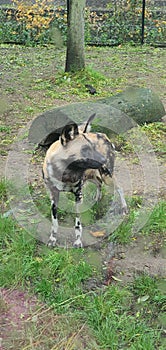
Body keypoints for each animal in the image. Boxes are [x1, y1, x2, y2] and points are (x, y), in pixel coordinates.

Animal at [42, 113, 127, 247]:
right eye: (85, 149)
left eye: (93, 147)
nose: (103, 160)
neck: (65, 172)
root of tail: (102, 135)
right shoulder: (54, 196)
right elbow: (54, 222)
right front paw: (52, 239)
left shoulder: (78, 196)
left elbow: (77, 224)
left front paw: (78, 241)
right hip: (92, 175)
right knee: (99, 183)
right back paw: (97, 199)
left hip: (107, 176)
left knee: (119, 188)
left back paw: (124, 208)